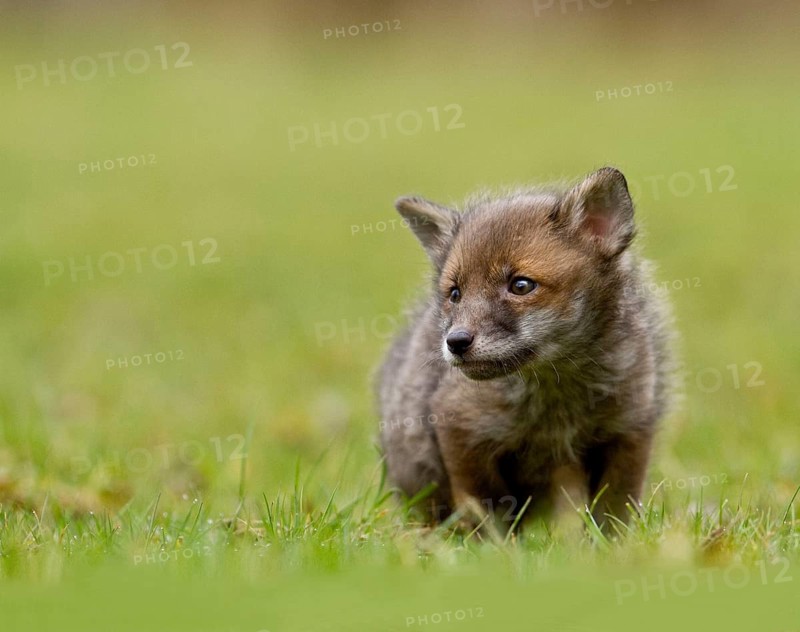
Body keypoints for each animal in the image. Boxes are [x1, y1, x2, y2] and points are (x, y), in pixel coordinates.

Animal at [378, 167, 676, 531]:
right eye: (455, 293)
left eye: (521, 285)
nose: (456, 342)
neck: (557, 397)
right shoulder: (461, 429)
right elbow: (487, 509)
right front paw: (493, 547)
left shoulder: (630, 429)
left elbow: (614, 511)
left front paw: (612, 545)